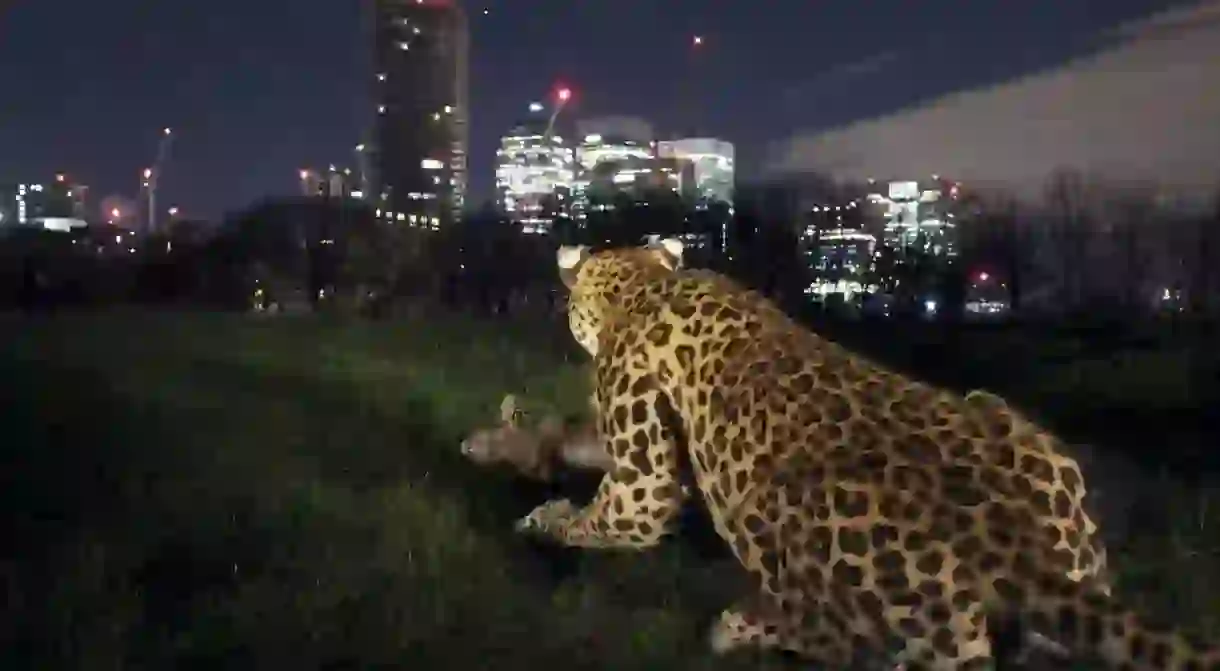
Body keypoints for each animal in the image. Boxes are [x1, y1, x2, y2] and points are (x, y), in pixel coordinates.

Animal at [517, 239, 1220, 668]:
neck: (642, 284)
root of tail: (1007, 545)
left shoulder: (643, 477)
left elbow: (621, 509)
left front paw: (545, 521)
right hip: (1014, 430)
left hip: (794, 519)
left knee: (833, 635)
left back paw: (739, 625)